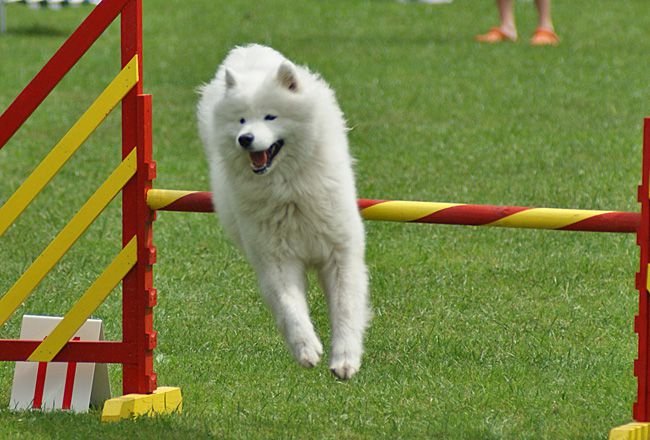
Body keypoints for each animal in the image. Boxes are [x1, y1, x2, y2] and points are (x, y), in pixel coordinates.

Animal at [195, 45, 370, 382]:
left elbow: (346, 309)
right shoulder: (276, 259)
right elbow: (290, 308)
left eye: (270, 116)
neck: (287, 192)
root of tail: (247, 50)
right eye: (241, 120)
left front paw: (345, 359)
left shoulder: (340, 254)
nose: (245, 138)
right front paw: (307, 349)